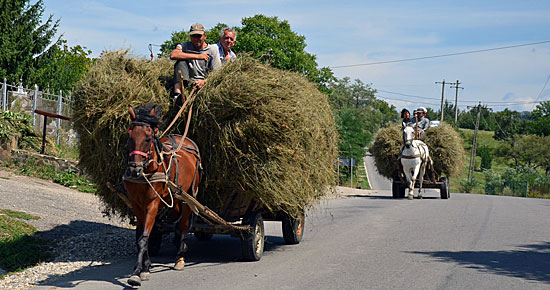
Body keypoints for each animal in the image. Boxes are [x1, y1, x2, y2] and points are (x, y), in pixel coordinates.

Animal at [124, 103, 202, 286]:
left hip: (188, 197)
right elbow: (142, 235)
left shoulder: (152, 204)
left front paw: (137, 273)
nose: (134, 170)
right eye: (129, 136)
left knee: (183, 225)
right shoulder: (137, 204)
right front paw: (145, 267)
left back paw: (180, 257)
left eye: (148, 138)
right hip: (174, 198)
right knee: (177, 221)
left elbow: (144, 237)